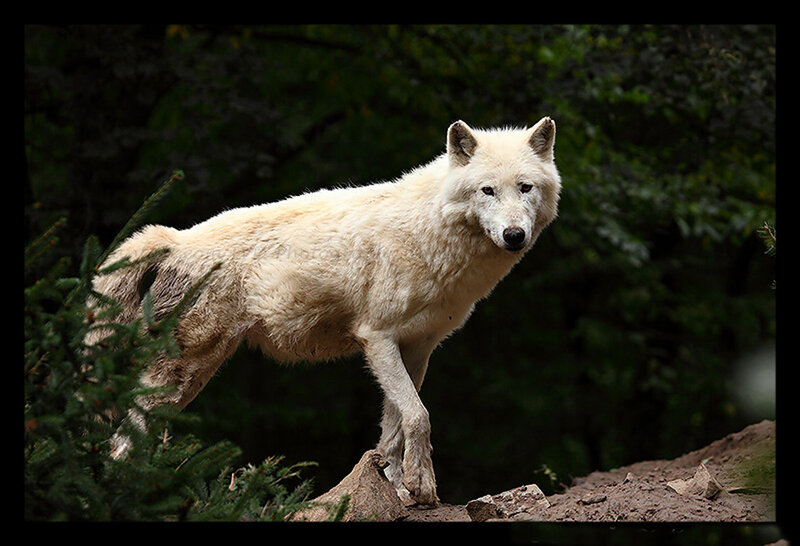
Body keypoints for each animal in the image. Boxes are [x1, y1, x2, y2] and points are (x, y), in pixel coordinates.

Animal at [90, 117, 562, 505]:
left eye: (525, 188)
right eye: (487, 190)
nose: (514, 235)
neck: (428, 233)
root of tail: (177, 238)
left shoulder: (417, 348)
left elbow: (393, 428)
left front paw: (395, 489)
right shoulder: (378, 339)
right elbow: (419, 417)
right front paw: (423, 487)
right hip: (188, 369)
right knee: (122, 437)